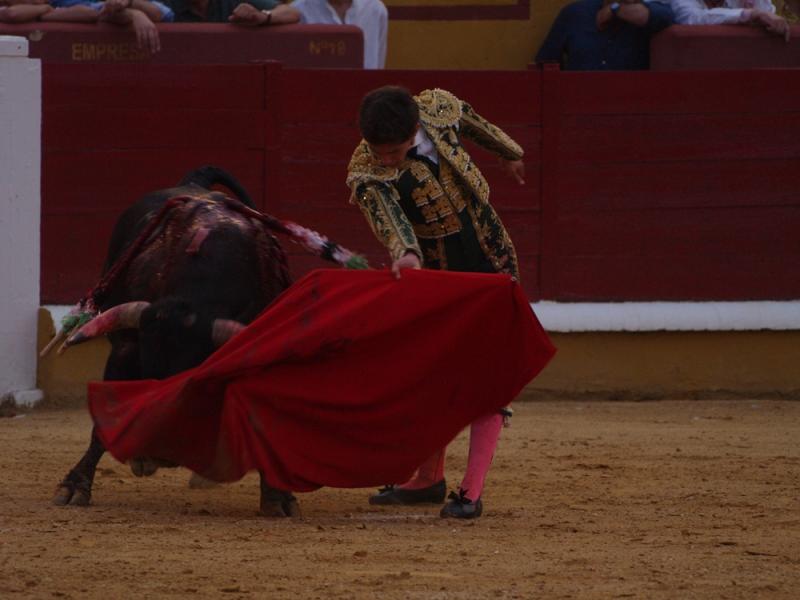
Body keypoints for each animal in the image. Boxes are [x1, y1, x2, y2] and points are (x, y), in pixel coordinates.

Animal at [48, 166, 360, 516]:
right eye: (148, 369)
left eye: (193, 381)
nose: (160, 454)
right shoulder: (126, 348)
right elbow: (105, 422)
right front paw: (74, 487)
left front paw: (278, 497)